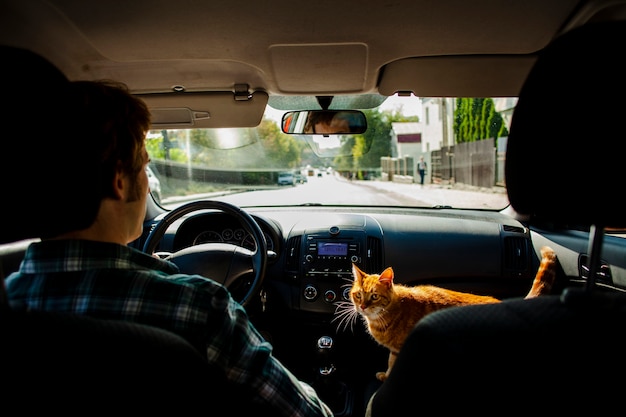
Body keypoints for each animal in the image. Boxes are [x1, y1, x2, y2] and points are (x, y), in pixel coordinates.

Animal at [334, 247, 560, 380]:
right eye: (357, 295)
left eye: (373, 297)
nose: (362, 307)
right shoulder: (395, 350)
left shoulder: (401, 349)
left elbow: (393, 365)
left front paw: (387, 377)